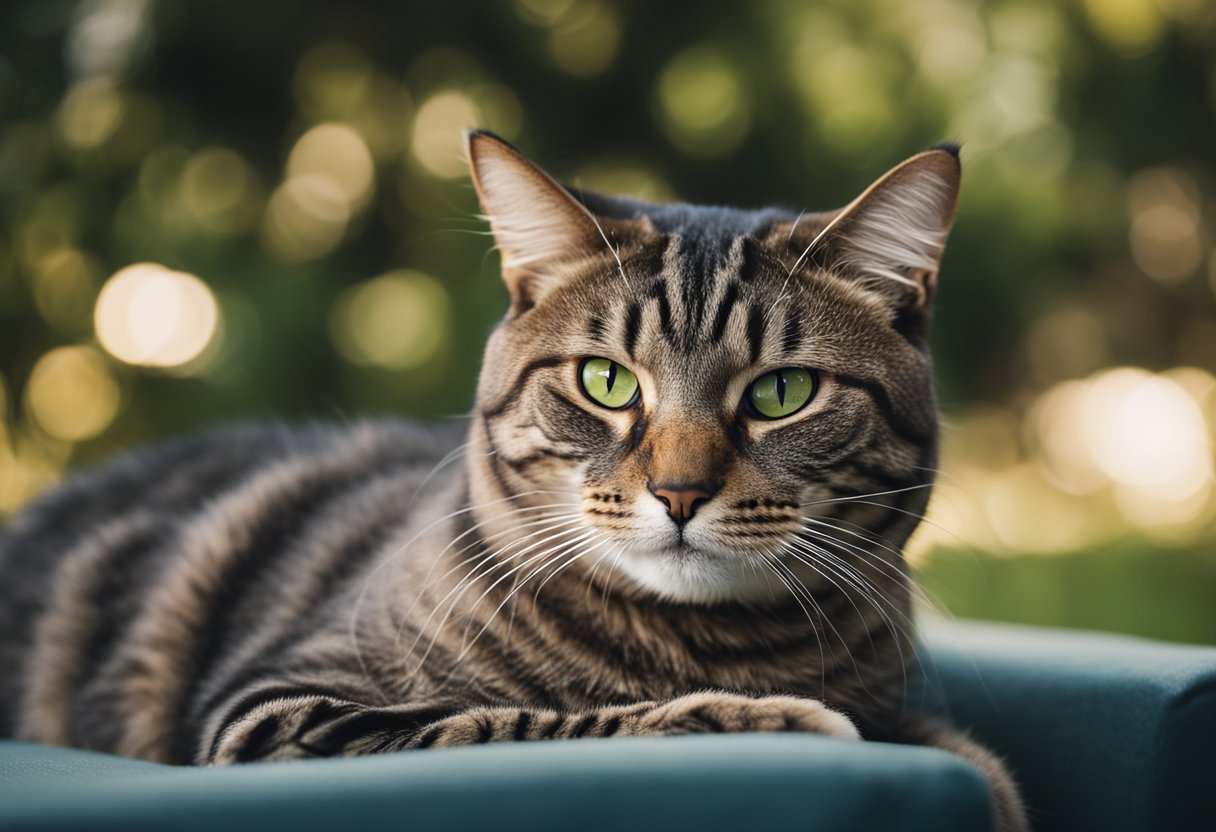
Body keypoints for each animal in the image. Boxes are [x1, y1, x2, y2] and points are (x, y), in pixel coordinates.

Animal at [0, 128, 1026, 827]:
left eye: (781, 393)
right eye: (606, 381)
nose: (680, 494)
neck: (695, 646)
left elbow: (973, 760)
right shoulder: (281, 714)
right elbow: (520, 721)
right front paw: (770, 723)